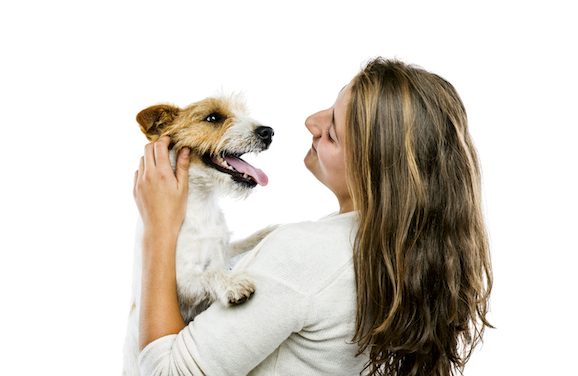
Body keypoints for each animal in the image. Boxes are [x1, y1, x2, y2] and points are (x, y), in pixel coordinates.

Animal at [122, 95, 276, 374]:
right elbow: (210, 273)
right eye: (213, 118)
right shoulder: (180, 282)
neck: (201, 201)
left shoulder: (222, 247)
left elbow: (237, 245)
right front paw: (233, 284)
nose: (268, 132)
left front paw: (268, 231)